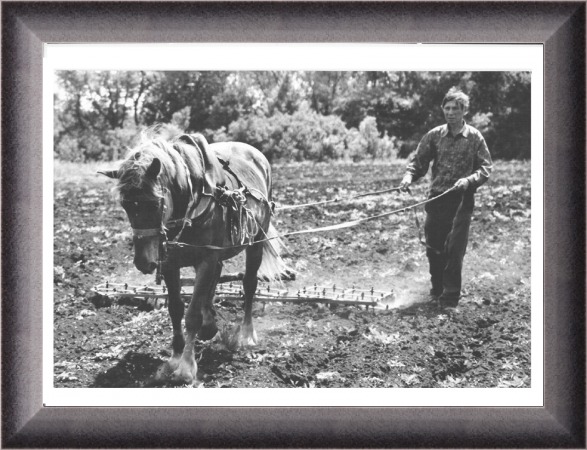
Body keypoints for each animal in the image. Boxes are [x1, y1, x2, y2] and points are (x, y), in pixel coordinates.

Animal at [101, 129, 290, 384]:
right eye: (126, 205)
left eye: (154, 202)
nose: (143, 262)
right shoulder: (170, 263)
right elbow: (176, 308)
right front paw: (175, 357)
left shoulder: (206, 259)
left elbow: (191, 314)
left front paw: (186, 367)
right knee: (215, 280)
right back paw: (210, 323)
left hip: (256, 242)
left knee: (249, 284)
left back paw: (247, 333)